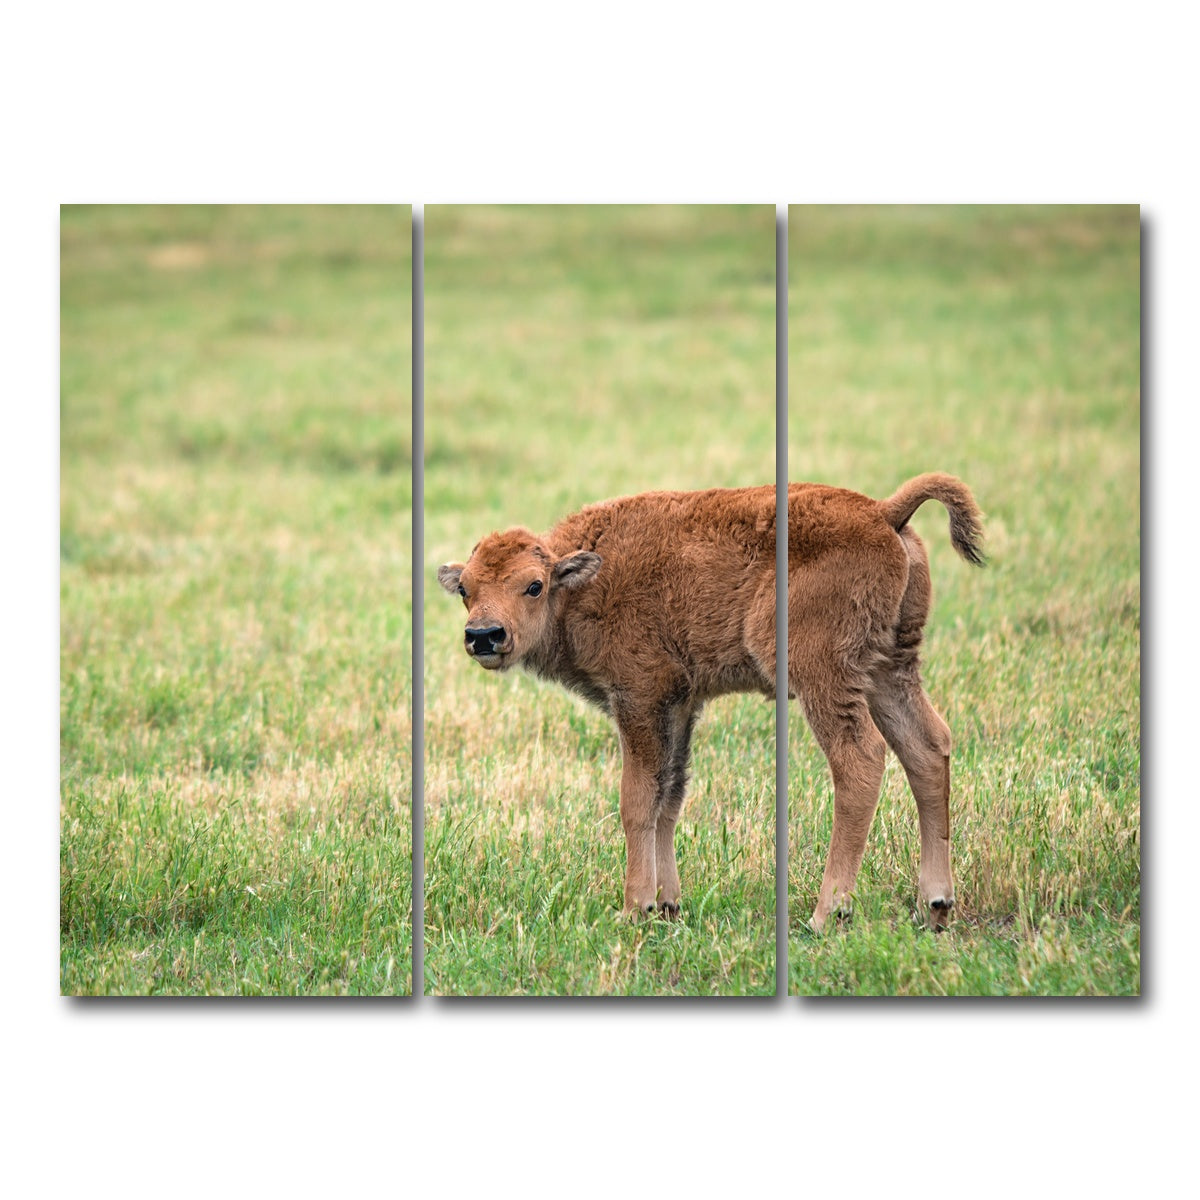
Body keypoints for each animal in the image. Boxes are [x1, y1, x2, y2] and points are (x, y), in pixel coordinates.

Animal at [437, 474, 983, 930]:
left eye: (533, 585)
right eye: (465, 588)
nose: (483, 635)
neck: (581, 580)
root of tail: (883, 512)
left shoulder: (640, 697)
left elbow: (637, 799)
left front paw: (633, 908)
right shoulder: (680, 704)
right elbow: (669, 797)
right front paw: (667, 906)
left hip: (824, 675)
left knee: (860, 760)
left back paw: (827, 914)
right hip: (889, 669)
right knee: (927, 748)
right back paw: (935, 906)